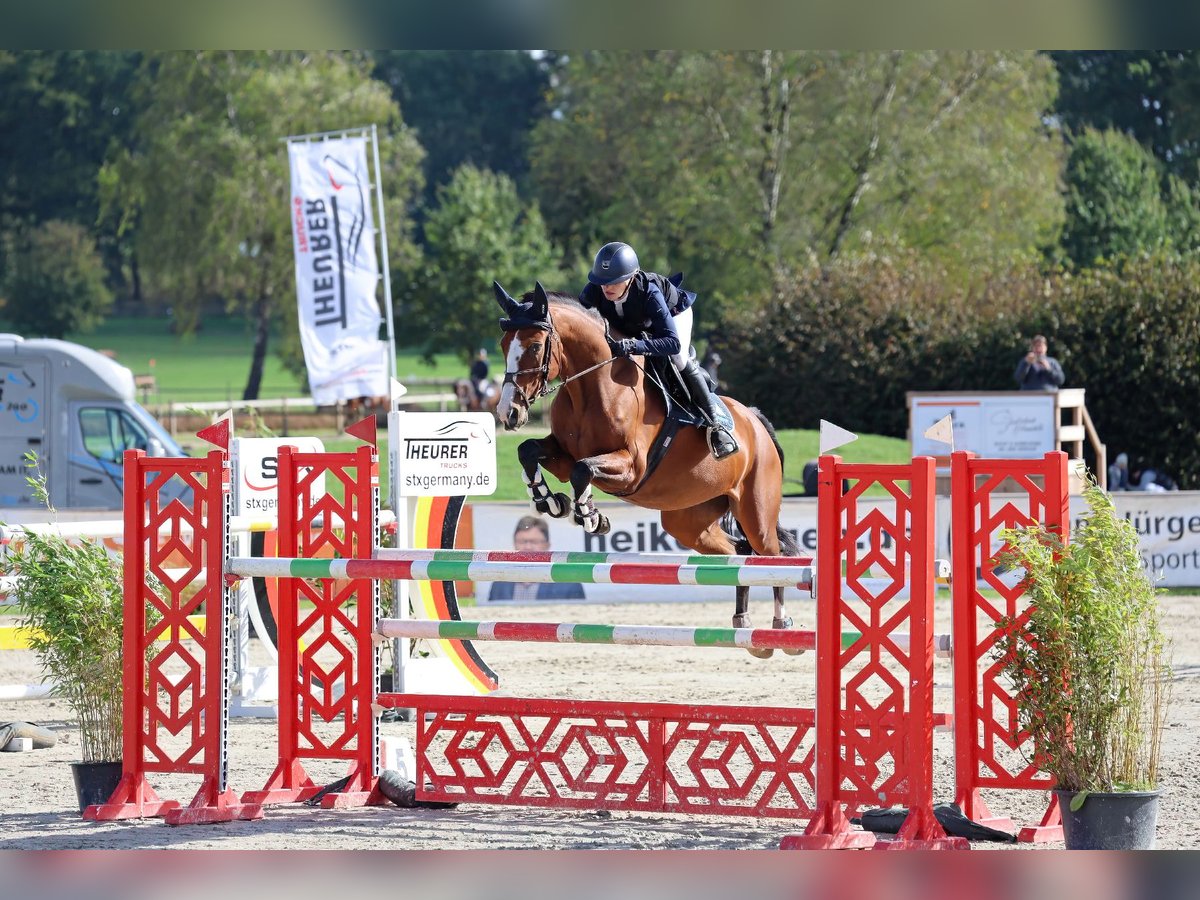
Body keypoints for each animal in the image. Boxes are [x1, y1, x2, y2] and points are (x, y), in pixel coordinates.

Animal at [492, 282, 801, 648]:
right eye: (503, 345)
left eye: (535, 346)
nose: (508, 413)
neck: (592, 387)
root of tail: (755, 420)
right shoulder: (563, 455)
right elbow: (531, 451)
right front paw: (549, 500)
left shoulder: (631, 468)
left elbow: (584, 469)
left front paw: (590, 517)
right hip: (688, 520)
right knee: (739, 552)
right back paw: (743, 621)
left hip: (756, 511)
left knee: (770, 556)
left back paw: (779, 627)